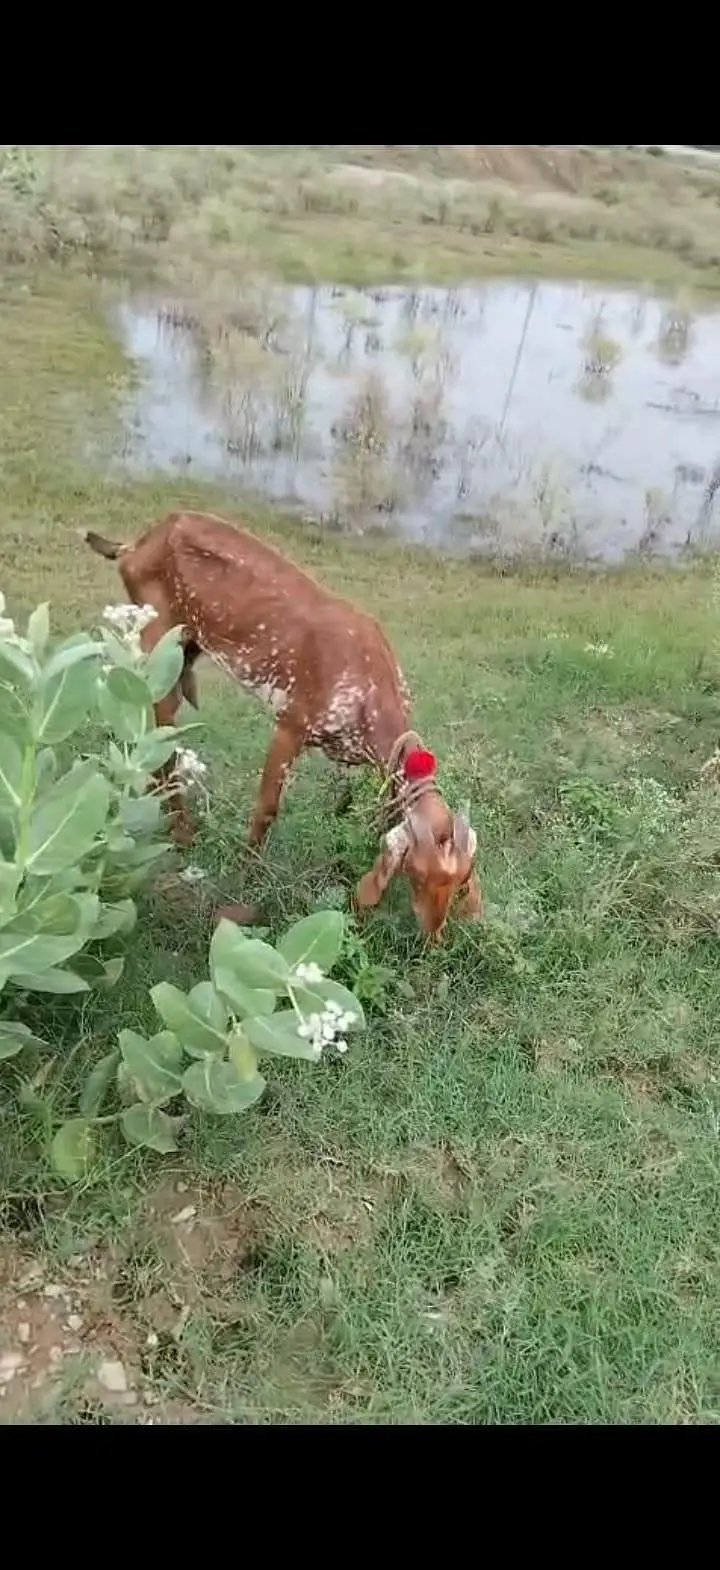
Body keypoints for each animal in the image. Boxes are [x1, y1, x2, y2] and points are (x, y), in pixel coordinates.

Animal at [84, 510, 483, 937]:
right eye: (419, 875)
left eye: (459, 881)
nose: (433, 934)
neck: (370, 690)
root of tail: (137, 544)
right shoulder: (292, 723)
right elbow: (267, 809)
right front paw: (245, 874)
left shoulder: (348, 754)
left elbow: (345, 804)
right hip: (159, 643)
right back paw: (181, 831)